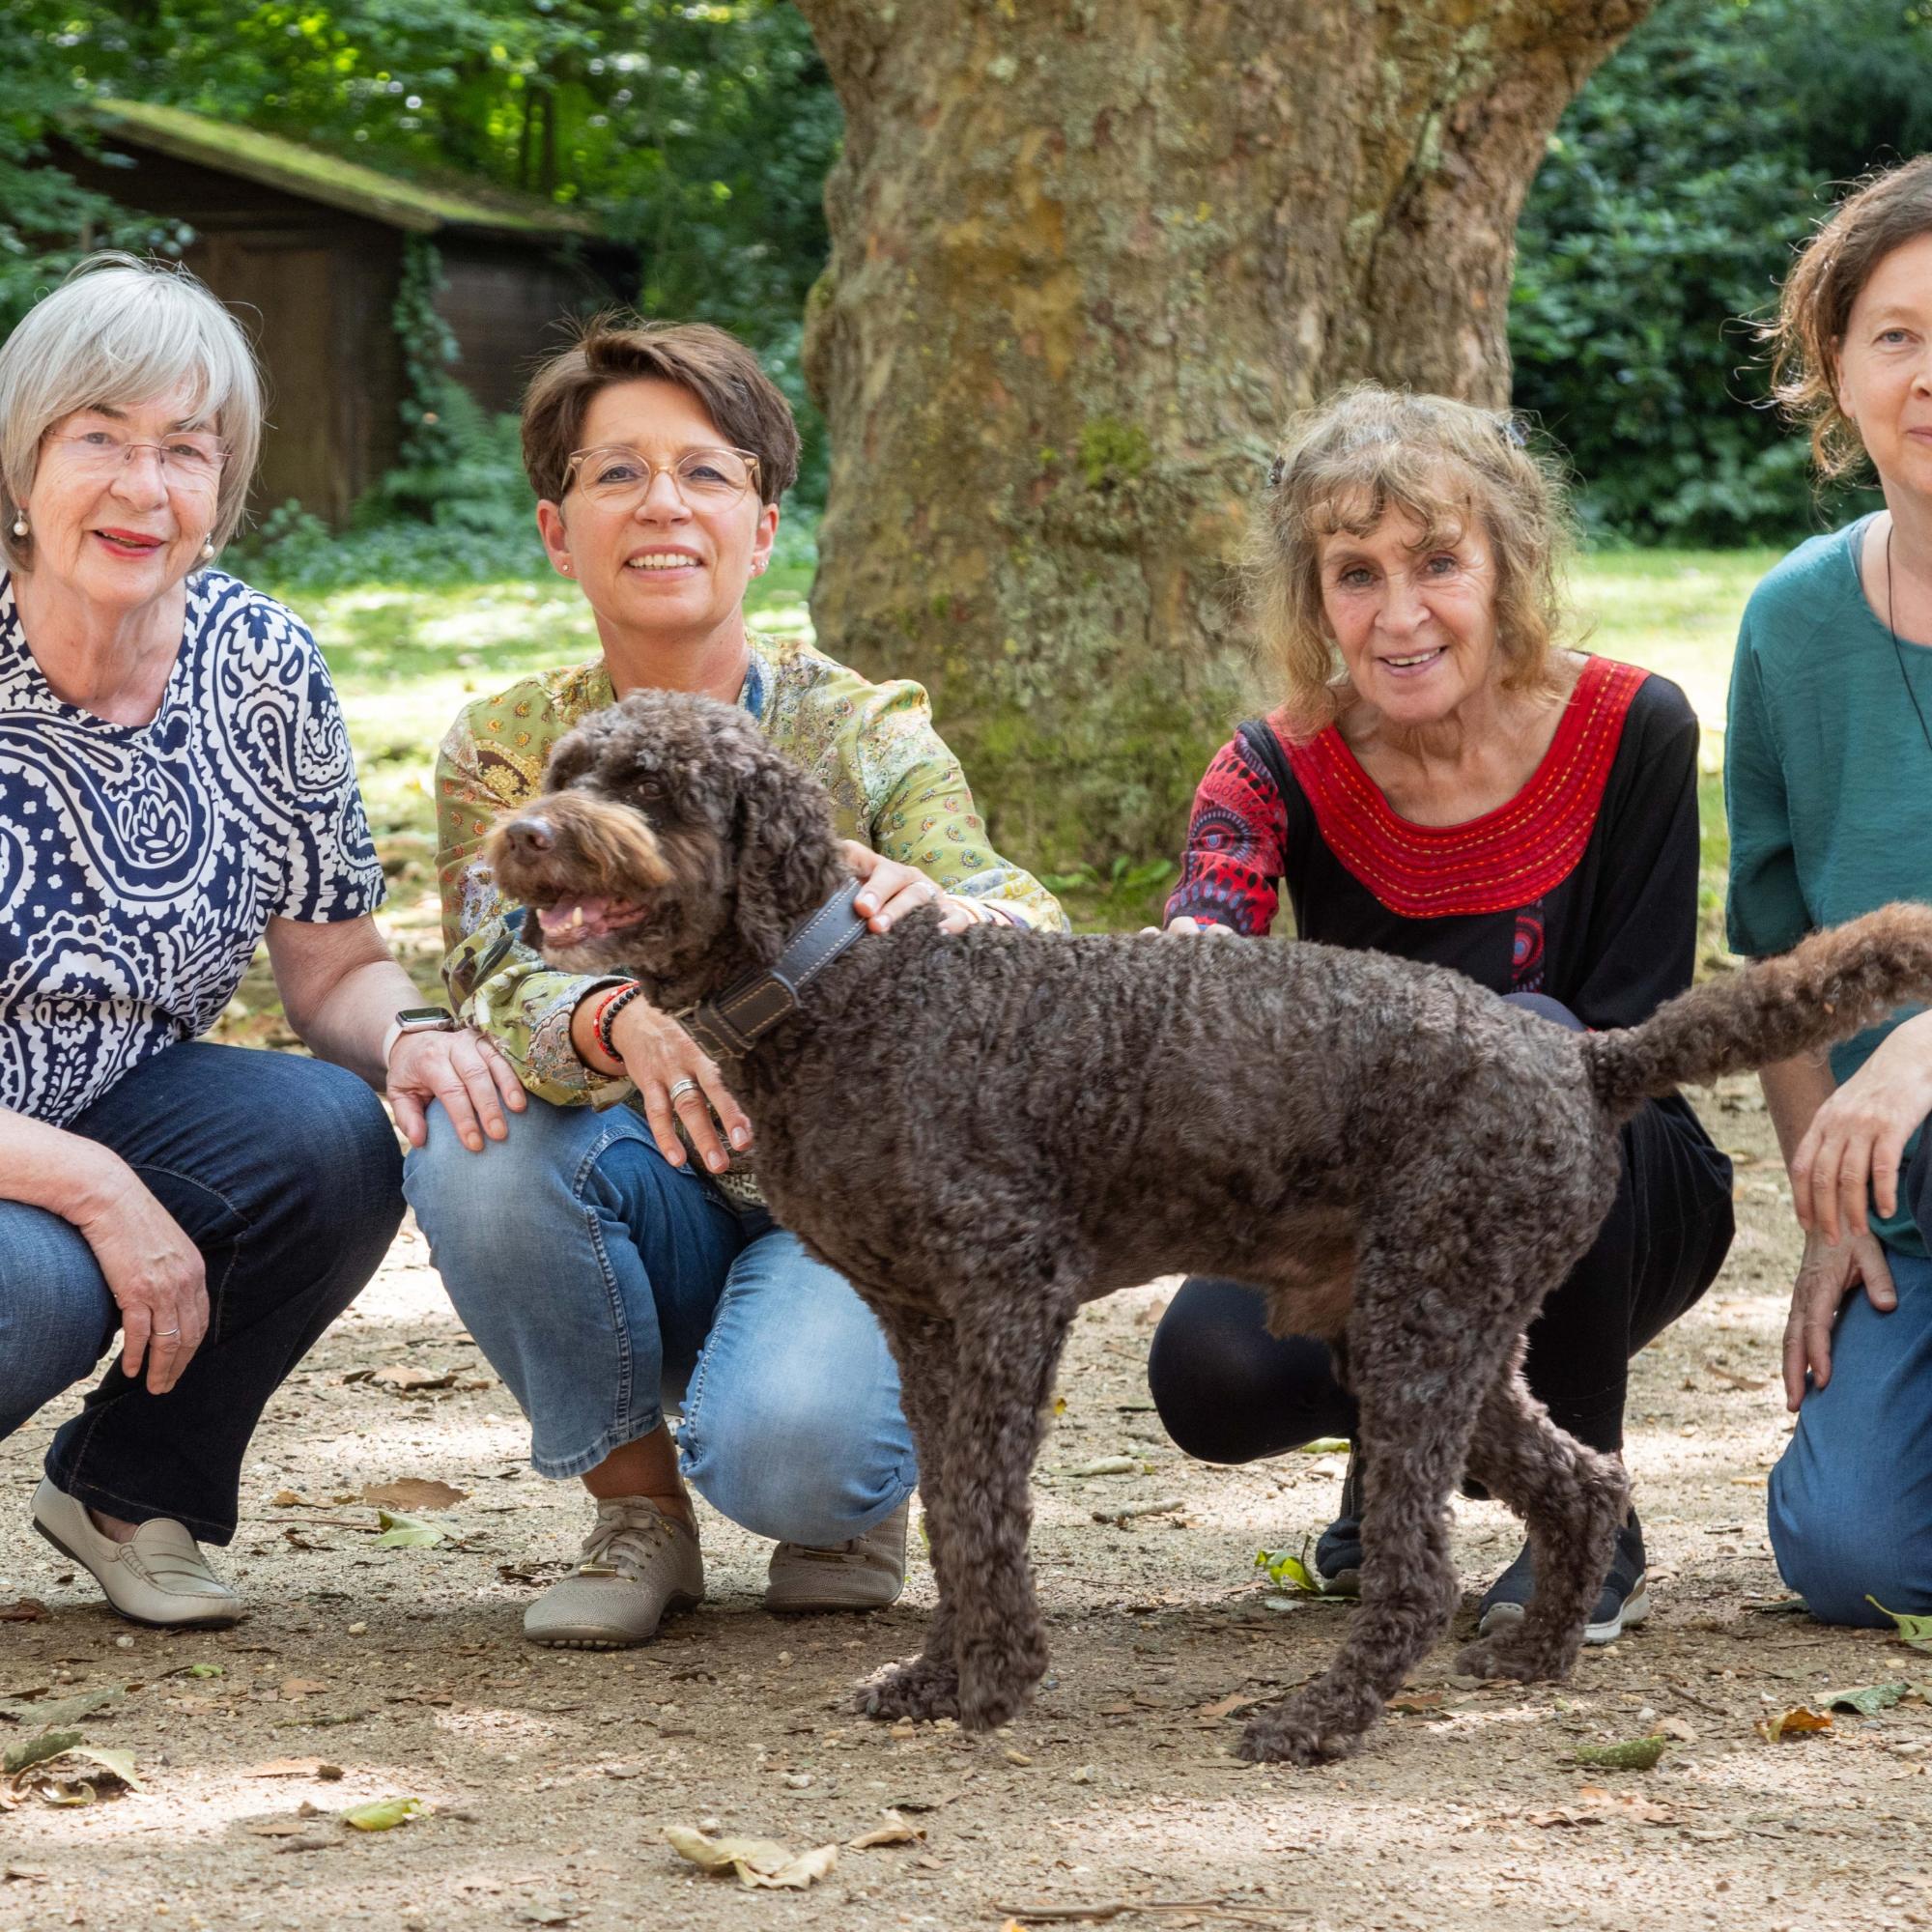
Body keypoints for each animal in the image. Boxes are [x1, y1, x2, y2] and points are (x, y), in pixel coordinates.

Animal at [487, 696, 1932, 1770]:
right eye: (565, 768)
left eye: (651, 785)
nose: (523, 834)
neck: (847, 989)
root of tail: (1581, 1058)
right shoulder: (922, 1325)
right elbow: (951, 1506)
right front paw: (943, 1675)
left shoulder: (1008, 1296)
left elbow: (983, 1509)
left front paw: (996, 1679)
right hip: (1439, 1329)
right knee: (1579, 1477)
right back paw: (1534, 1653)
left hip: (1423, 1321)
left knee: (1417, 1569)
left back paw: (1321, 1718)